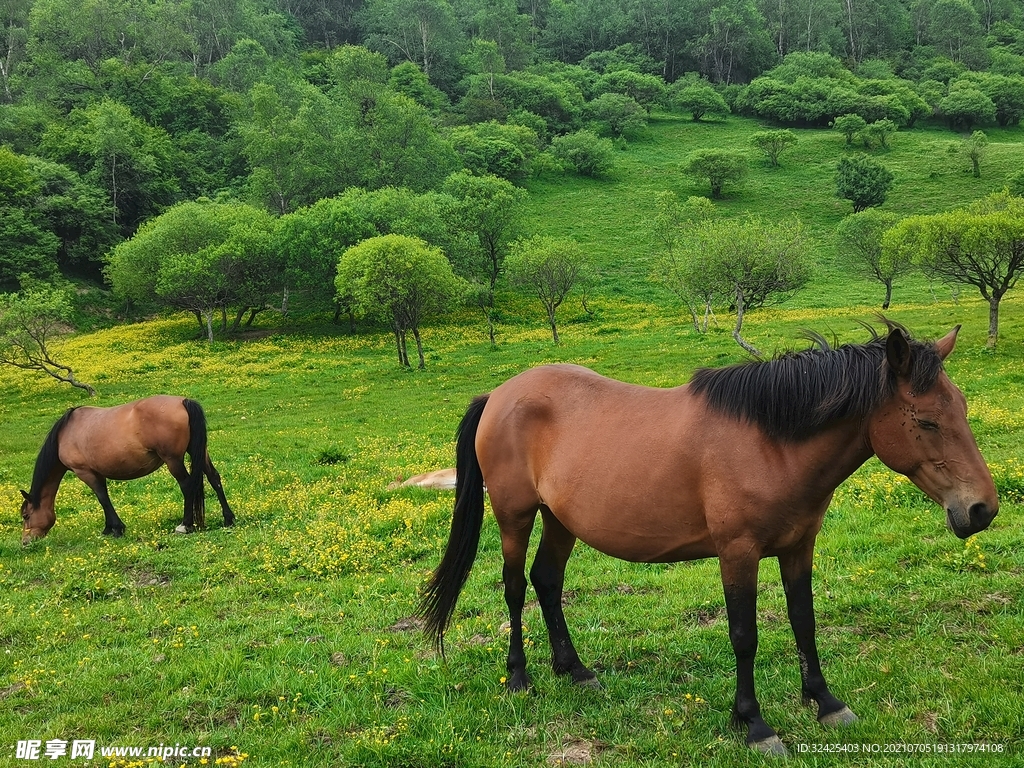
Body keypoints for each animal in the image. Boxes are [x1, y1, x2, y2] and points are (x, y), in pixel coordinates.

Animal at [18, 397, 234, 548]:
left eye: (26, 516)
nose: (26, 541)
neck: (65, 433)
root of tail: (183, 401)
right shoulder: (97, 472)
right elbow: (103, 498)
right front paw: (108, 528)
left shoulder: (85, 472)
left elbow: (102, 498)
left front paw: (116, 528)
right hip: (200, 452)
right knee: (214, 478)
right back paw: (228, 519)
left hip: (173, 460)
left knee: (187, 486)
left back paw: (185, 525)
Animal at [419, 325, 995, 757]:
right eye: (927, 421)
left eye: (962, 406)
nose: (981, 509)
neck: (771, 442)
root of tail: (499, 394)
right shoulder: (737, 553)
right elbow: (744, 636)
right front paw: (755, 725)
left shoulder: (798, 547)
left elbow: (803, 622)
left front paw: (826, 703)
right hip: (514, 516)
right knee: (516, 587)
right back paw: (519, 678)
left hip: (561, 520)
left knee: (547, 582)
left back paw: (575, 671)